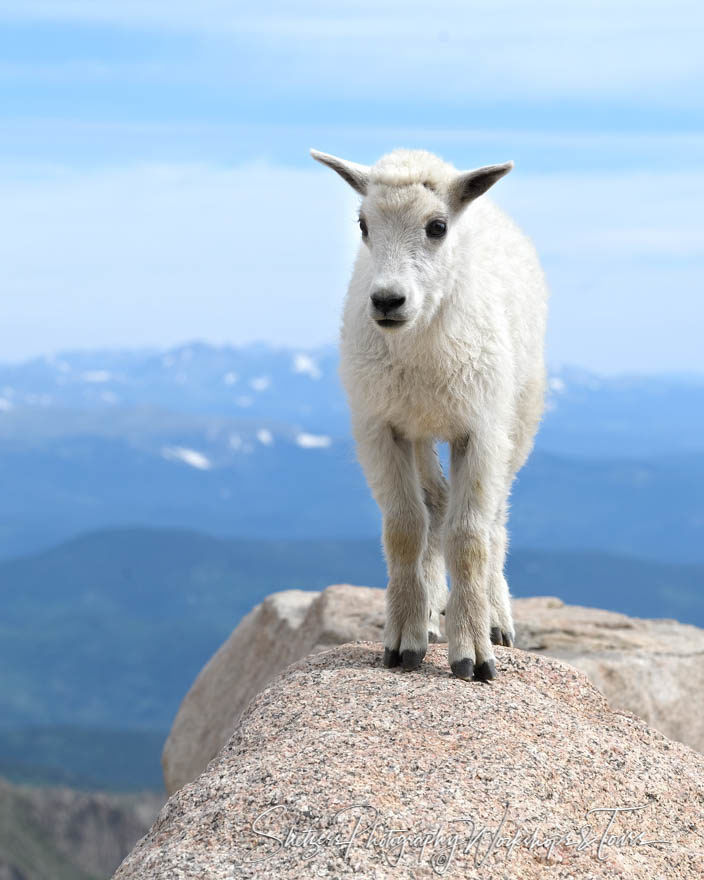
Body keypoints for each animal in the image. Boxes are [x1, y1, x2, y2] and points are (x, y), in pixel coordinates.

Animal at [310, 148, 548, 680]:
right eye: (363, 224)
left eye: (437, 226)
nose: (387, 301)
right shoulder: (382, 427)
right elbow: (404, 526)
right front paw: (404, 642)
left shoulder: (480, 430)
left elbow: (469, 535)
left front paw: (474, 656)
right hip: (420, 431)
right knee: (435, 504)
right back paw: (434, 610)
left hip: (519, 415)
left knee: (494, 516)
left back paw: (496, 618)